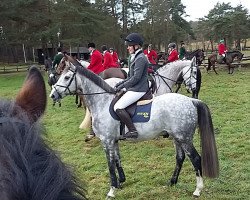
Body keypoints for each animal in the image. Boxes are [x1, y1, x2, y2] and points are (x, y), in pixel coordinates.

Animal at [49, 54, 218, 198]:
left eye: (67, 77)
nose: (53, 95)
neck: (102, 102)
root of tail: (191, 100)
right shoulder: (113, 141)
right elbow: (117, 159)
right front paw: (120, 182)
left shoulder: (107, 141)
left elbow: (110, 165)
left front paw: (111, 190)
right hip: (177, 137)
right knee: (180, 157)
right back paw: (172, 182)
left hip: (184, 138)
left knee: (196, 159)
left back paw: (197, 190)